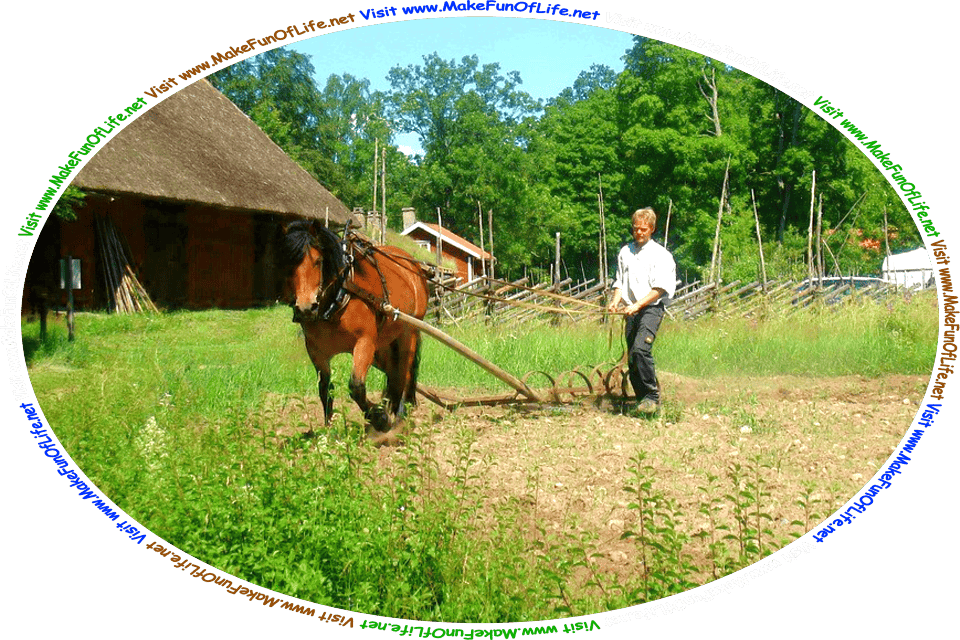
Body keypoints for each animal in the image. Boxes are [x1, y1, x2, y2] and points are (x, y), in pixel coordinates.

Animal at [281, 220, 429, 433]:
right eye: (289, 264)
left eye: (318, 261)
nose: (306, 308)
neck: (339, 297)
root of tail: (412, 264)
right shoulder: (316, 351)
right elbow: (325, 388)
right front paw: (328, 431)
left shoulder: (365, 342)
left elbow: (356, 386)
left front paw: (379, 418)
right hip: (384, 343)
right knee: (393, 373)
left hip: (408, 332)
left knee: (405, 371)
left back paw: (400, 415)